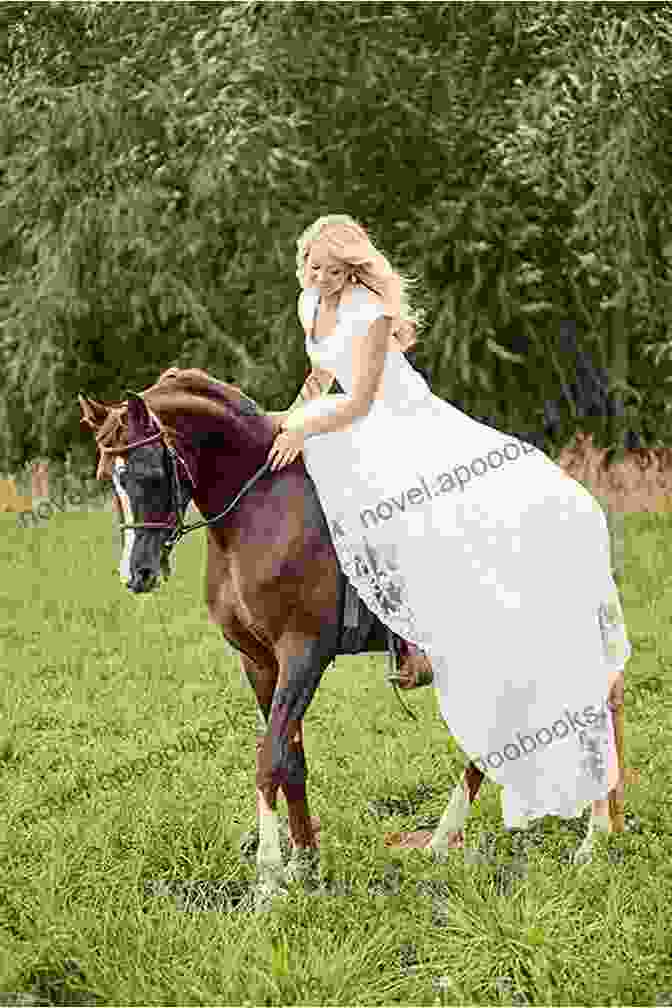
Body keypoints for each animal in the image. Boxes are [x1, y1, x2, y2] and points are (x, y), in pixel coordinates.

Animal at [79, 370, 624, 907]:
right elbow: (291, 760)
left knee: (587, 713)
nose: (137, 572)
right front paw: (304, 865)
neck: (260, 506)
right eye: (110, 478)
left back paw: (592, 839)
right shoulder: (259, 661)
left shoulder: (303, 654)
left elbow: (269, 759)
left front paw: (268, 879)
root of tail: (578, 501)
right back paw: (444, 841)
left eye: (150, 473)